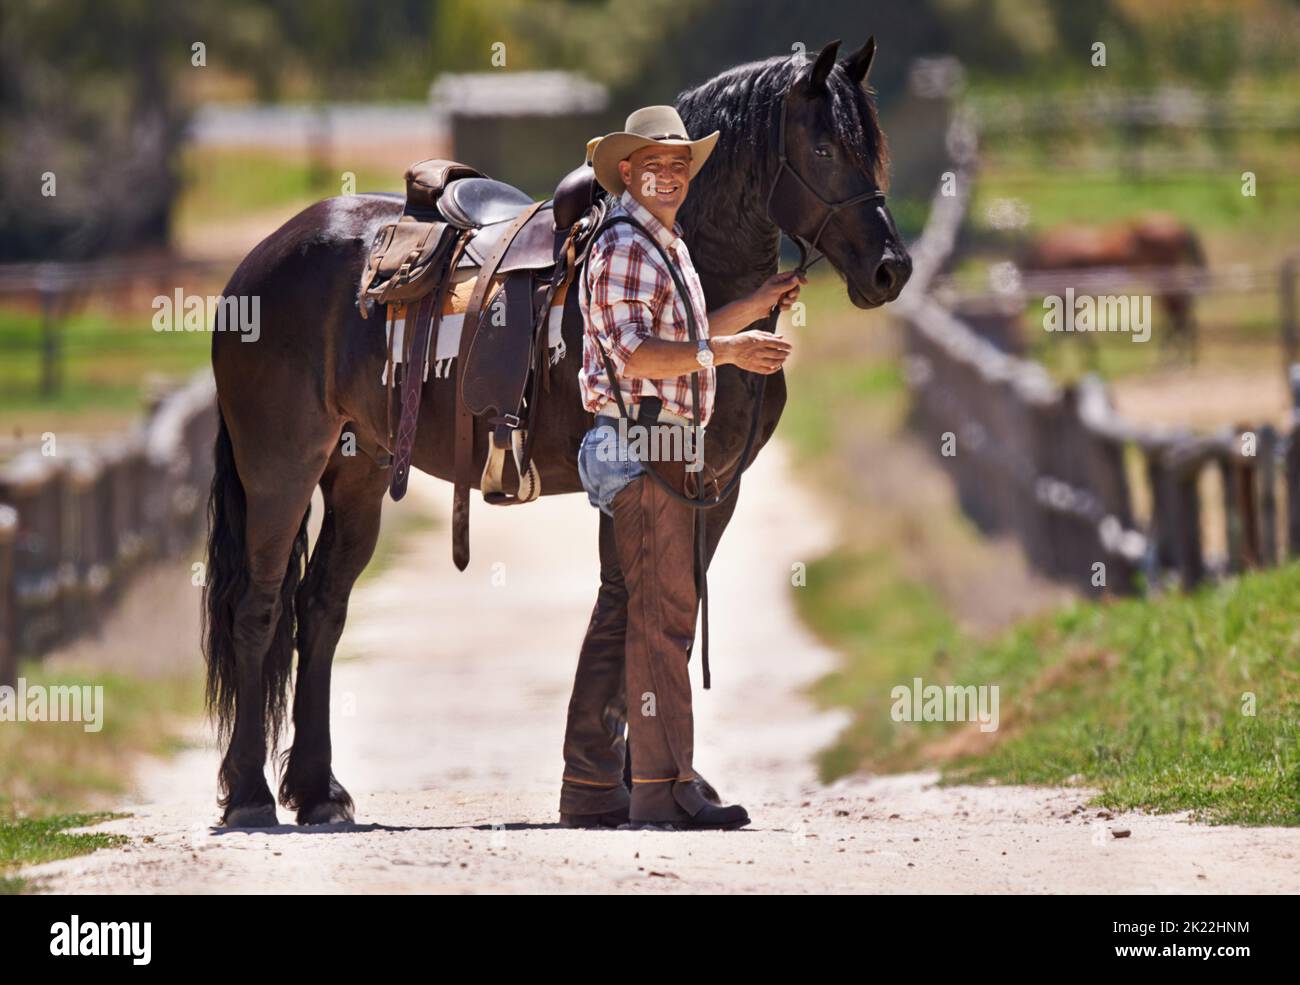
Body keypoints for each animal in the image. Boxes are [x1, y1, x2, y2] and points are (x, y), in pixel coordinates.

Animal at [205, 38, 915, 831]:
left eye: (871, 147)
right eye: (823, 147)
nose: (891, 268)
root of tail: (261, 260)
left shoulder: (713, 488)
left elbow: (668, 609)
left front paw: (662, 787)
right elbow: (639, 607)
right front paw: (637, 791)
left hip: (358, 470)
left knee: (321, 608)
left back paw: (318, 791)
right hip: (281, 468)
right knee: (259, 605)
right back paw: (250, 793)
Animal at [1024, 211, 1206, 358]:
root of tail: (1178, 224)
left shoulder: (1065, 293)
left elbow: (1067, 326)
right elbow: (1069, 326)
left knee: (1179, 308)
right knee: (1180, 307)